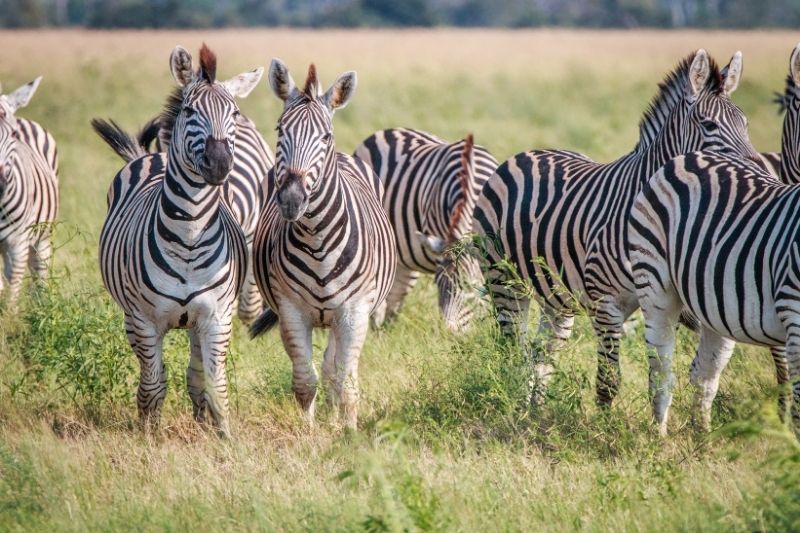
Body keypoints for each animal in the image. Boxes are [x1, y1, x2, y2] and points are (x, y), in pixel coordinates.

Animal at [0, 77, 59, 302]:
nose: (0, 180)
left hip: (42, 236)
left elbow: (12, 291)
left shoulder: (18, 242)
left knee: (39, 274)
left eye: (13, 134)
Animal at [94, 44, 262, 435]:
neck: (190, 238)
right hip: (130, 317)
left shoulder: (217, 317)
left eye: (234, 113)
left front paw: (222, 437)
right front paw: (149, 437)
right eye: (190, 111)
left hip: (197, 323)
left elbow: (215, 385)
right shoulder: (144, 321)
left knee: (196, 374)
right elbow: (153, 385)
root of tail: (151, 155)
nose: (219, 164)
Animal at [250, 60, 396, 430]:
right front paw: (310, 432)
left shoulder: (354, 311)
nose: (291, 199)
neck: (317, 240)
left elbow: (345, 381)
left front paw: (348, 431)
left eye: (325, 136)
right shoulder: (291, 310)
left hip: (341, 317)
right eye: (279, 130)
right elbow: (305, 381)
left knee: (336, 369)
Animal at [474, 49, 764, 406]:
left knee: (543, 356)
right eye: (709, 125)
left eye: (745, 124)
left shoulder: (672, 301)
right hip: (504, 281)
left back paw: (535, 412)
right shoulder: (607, 303)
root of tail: (527, 153)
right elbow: (608, 382)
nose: (760, 168)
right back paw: (513, 408)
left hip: (557, 298)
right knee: (512, 351)